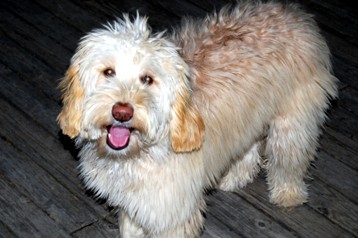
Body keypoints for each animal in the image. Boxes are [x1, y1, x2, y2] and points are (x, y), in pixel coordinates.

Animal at [57, 0, 338, 237]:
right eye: (108, 72)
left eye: (147, 79)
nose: (122, 112)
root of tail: (293, 13)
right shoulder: (136, 207)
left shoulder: (169, 212)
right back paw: (234, 177)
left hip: (292, 122)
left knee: (290, 158)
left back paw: (288, 194)